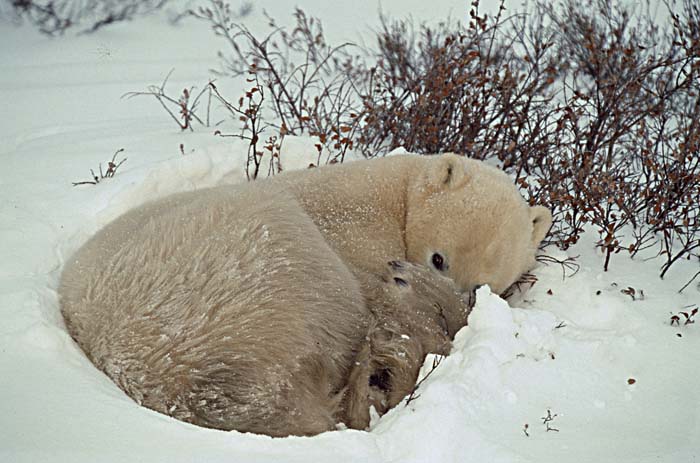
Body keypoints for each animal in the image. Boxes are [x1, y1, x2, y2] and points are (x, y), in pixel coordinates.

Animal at [58, 154, 552, 436]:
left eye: (486, 286)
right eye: (439, 258)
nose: (459, 302)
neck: (391, 194)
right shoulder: (351, 234)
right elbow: (386, 300)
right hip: (257, 267)